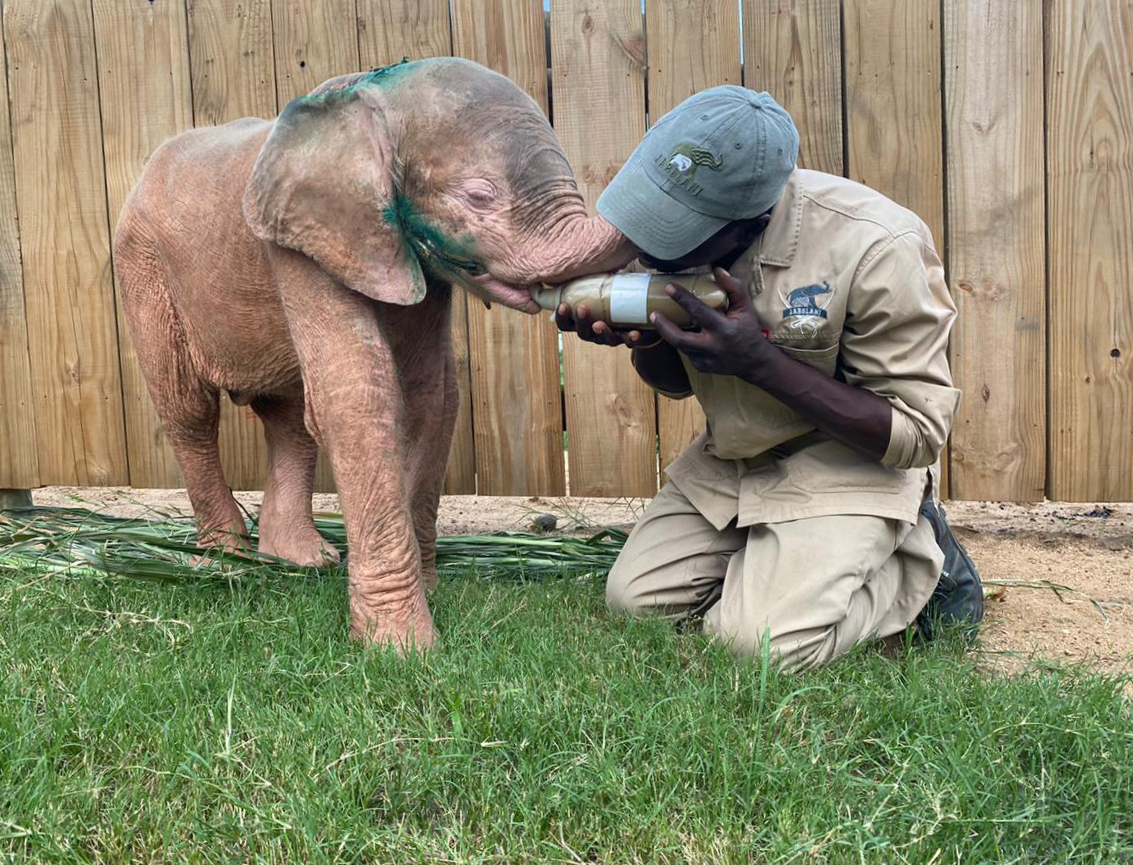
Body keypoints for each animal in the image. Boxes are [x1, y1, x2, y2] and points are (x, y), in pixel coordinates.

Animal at [114, 58, 635, 650]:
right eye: (479, 197)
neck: (367, 96)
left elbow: (434, 392)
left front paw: (426, 594)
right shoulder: (302, 241)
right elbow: (358, 390)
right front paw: (401, 648)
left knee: (289, 419)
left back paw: (301, 561)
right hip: (143, 267)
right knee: (189, 412)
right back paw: (226, 560)